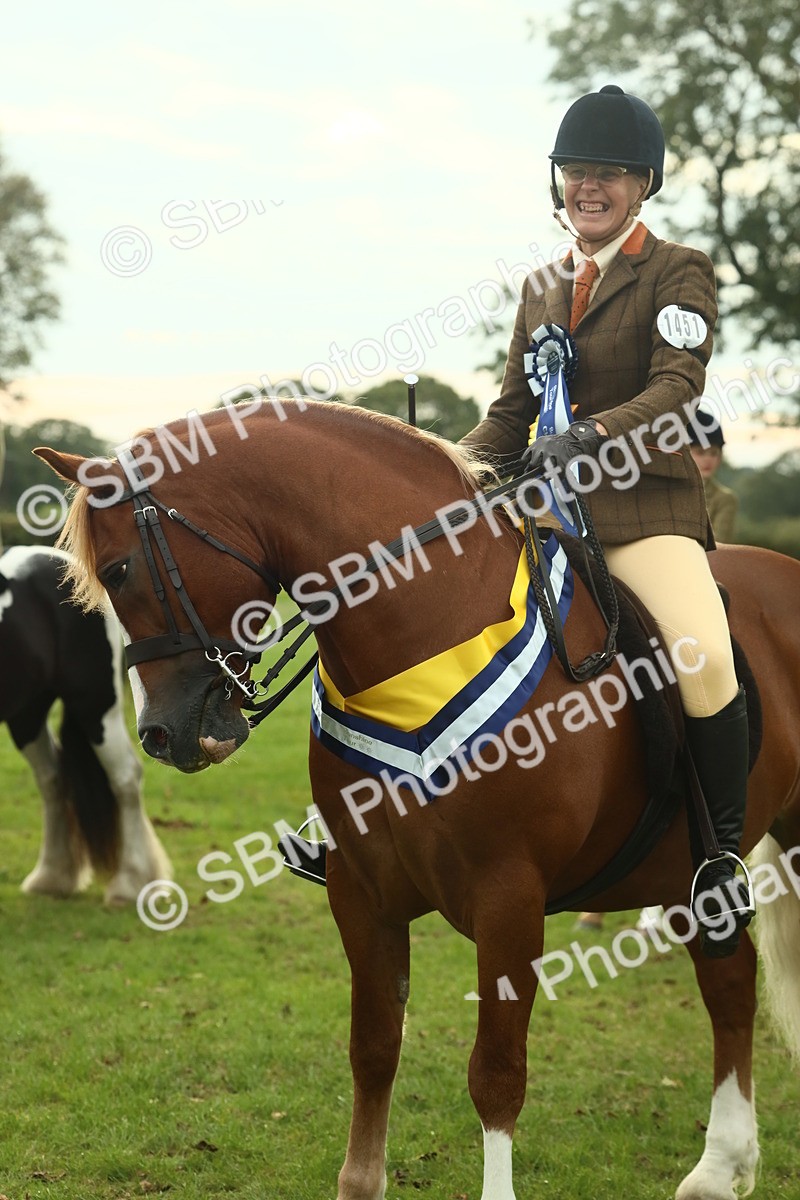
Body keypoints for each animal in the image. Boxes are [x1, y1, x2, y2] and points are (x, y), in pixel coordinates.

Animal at [0, 544, 172, 904]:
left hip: (95, 705)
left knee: (124, 778)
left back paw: (130, 883)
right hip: (26, 714)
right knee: (52, 780)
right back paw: (52, 877)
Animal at [35, 399, 800, 1200]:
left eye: (120, 570)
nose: (159, 734)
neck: (425, 635)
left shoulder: (509, 897)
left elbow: (495, 1074)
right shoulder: (361, 889)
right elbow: (373, 1048)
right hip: (684, 874)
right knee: (729, 982)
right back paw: (720, 1169)